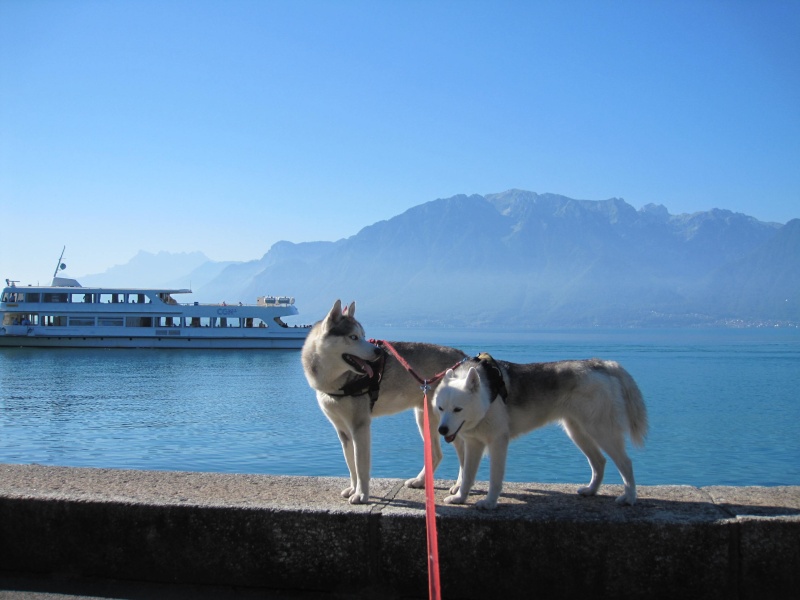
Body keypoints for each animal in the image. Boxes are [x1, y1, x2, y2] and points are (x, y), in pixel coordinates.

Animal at [302, 298, 468, 502]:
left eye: (363, 335)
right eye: (354, 337)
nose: (378, 352)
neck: (335, 381)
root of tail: (462, 356)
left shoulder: (360, 426)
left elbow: (361, 466)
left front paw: (361, 494)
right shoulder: (342, 431)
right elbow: (351, 465)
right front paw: (353, 488)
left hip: (448, 421)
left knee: (464, 452)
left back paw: (460, 486)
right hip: (424, 418)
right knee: (436, 454)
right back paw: (420, 481)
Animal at [434, 354, 648, 508]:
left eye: (458, 409)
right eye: (441, 408)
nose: (442, 430)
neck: (487, 396)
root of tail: (603, 364)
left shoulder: (497, 442)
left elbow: (494, 478)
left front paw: (489, 503)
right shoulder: (473, 444)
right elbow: (467, 476)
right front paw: (460, 498)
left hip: (602, 432)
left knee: (626, 463)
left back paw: (629, 498)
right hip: (578, 432)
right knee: (599, 461)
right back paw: (591, 490)